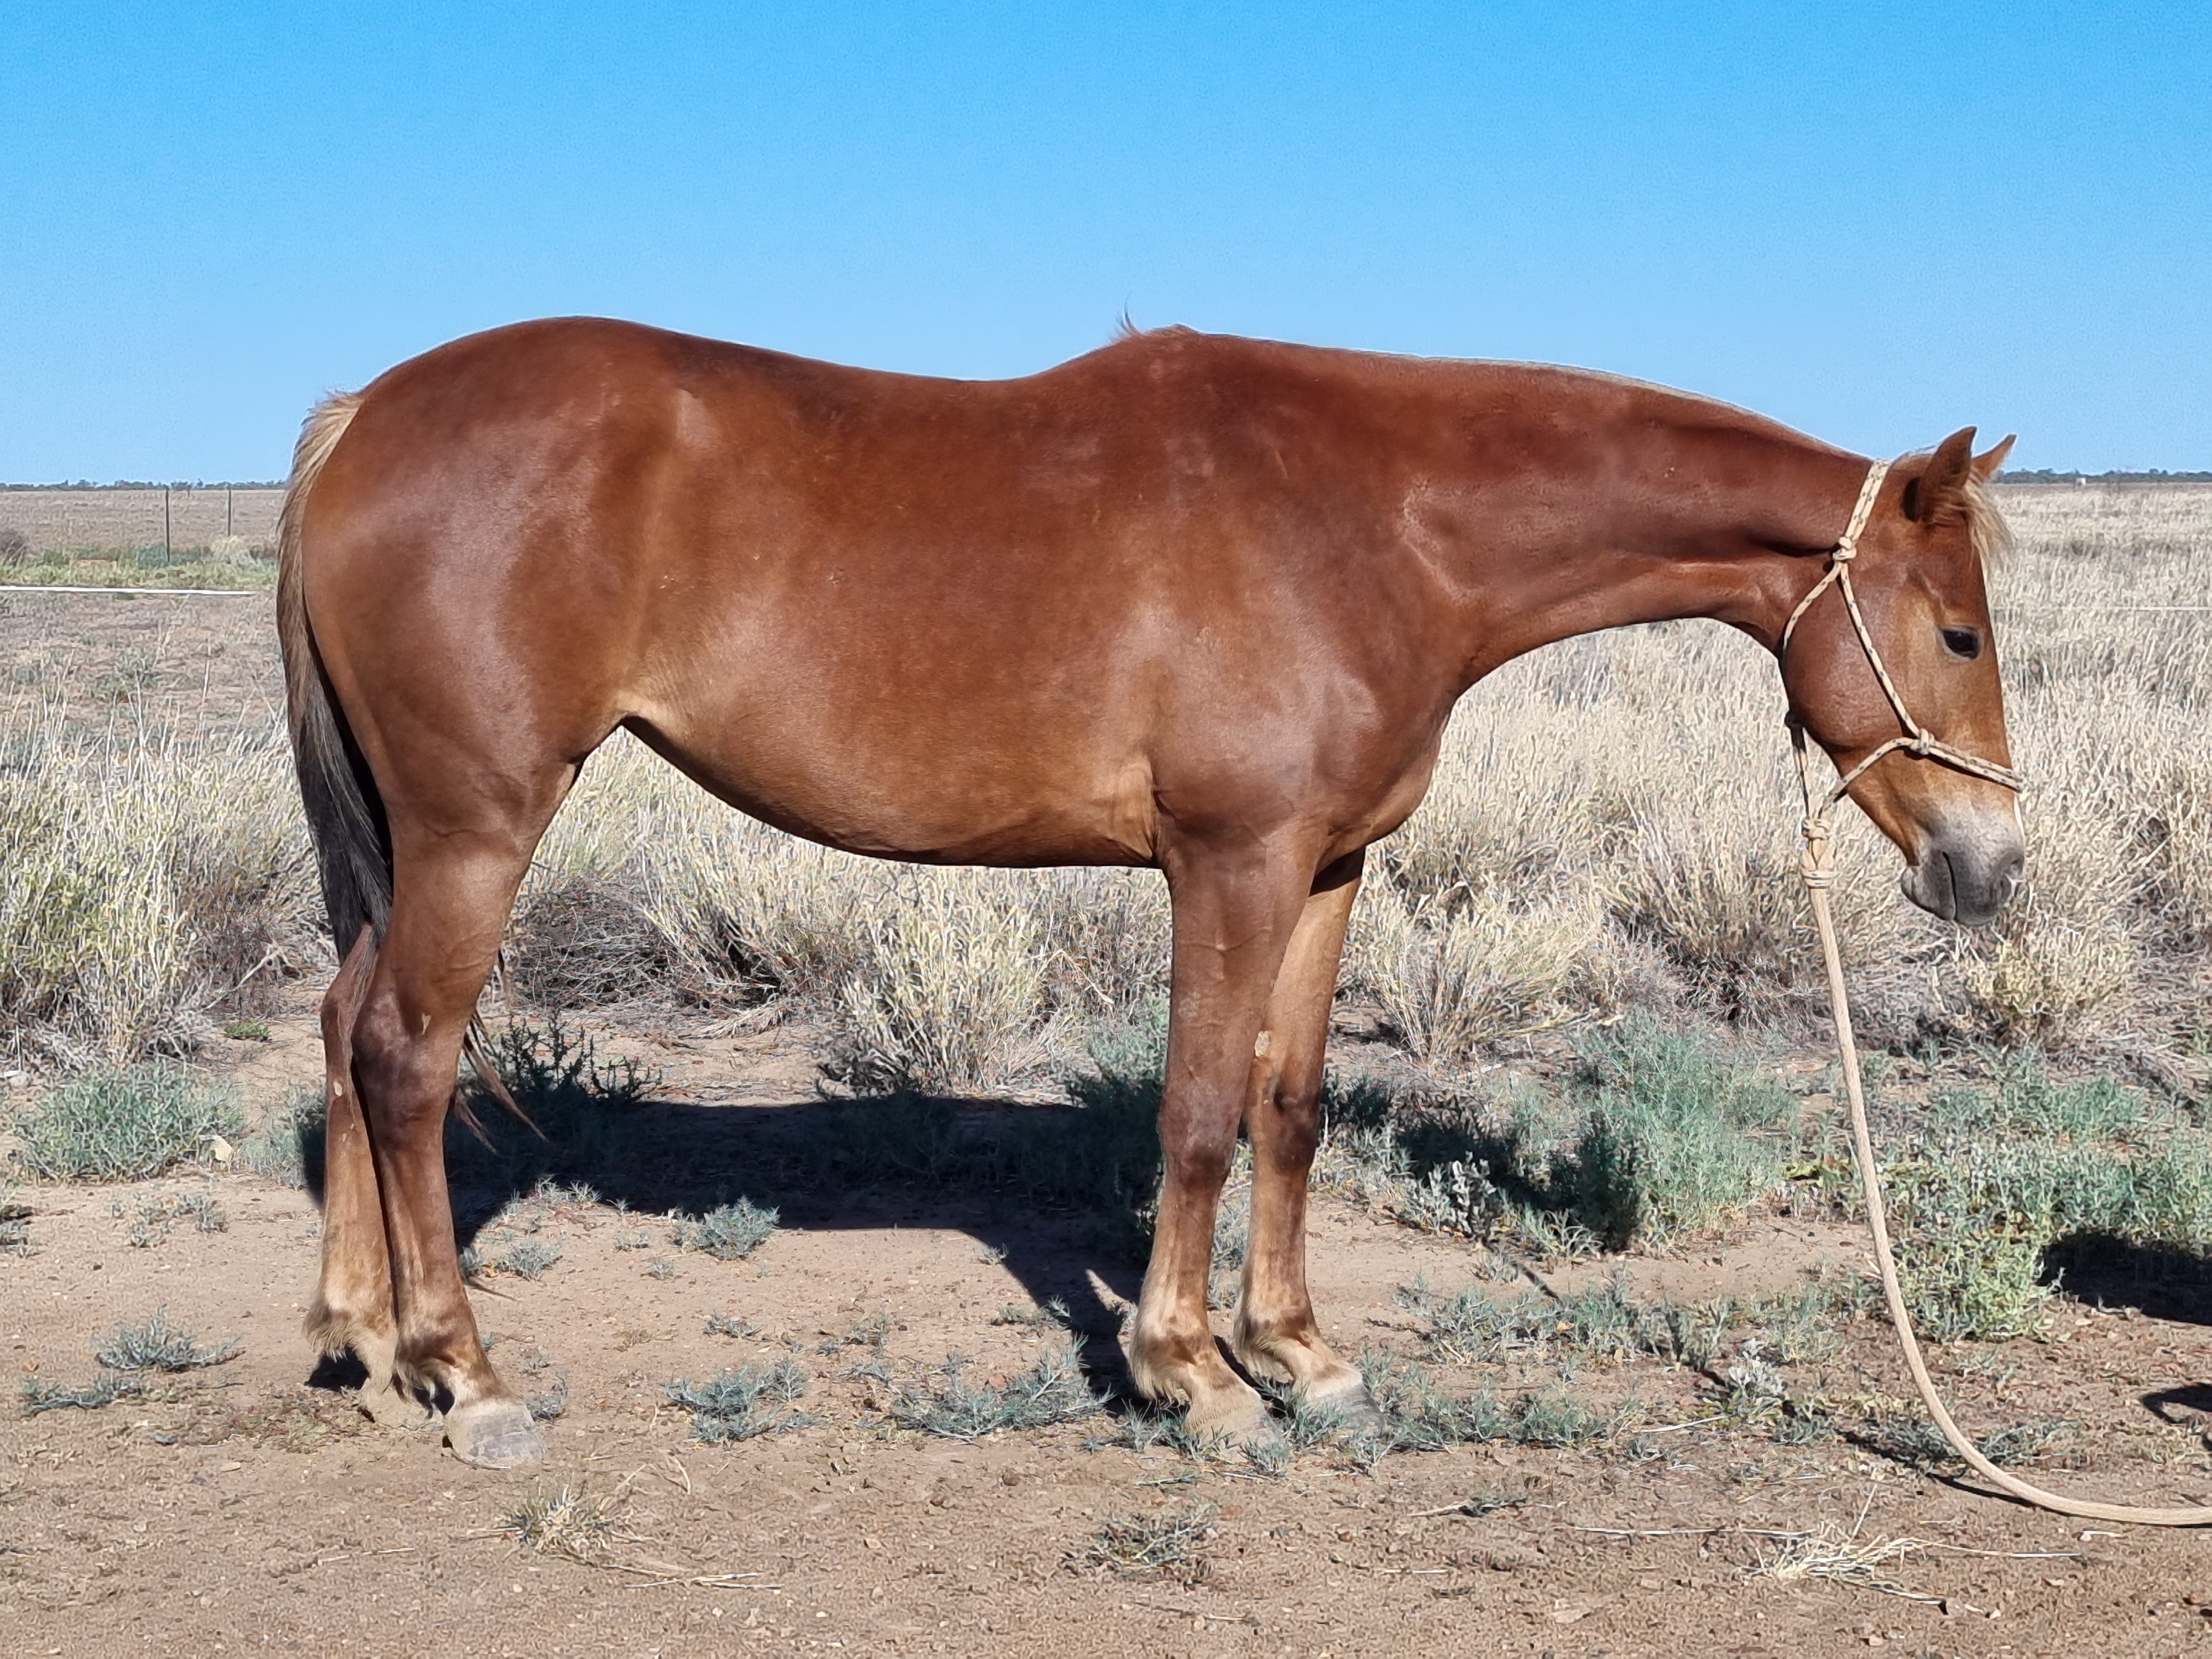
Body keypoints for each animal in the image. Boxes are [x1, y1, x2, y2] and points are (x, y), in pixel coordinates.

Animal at [277, 318, 2022, 1466]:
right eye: (1956, 632)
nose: (1990, 865)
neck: (1380, 523)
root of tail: (363, 414)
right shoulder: (1228, 860)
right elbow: (1193, 1111)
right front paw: (1189, 1371)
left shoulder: (1328, 865)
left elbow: (1288, 1106)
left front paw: (1299, 1352)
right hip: (477, 825)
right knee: (409, 1059)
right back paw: (465, 1371)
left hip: (407, 845)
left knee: (347, 1029)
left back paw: (358, 1332)